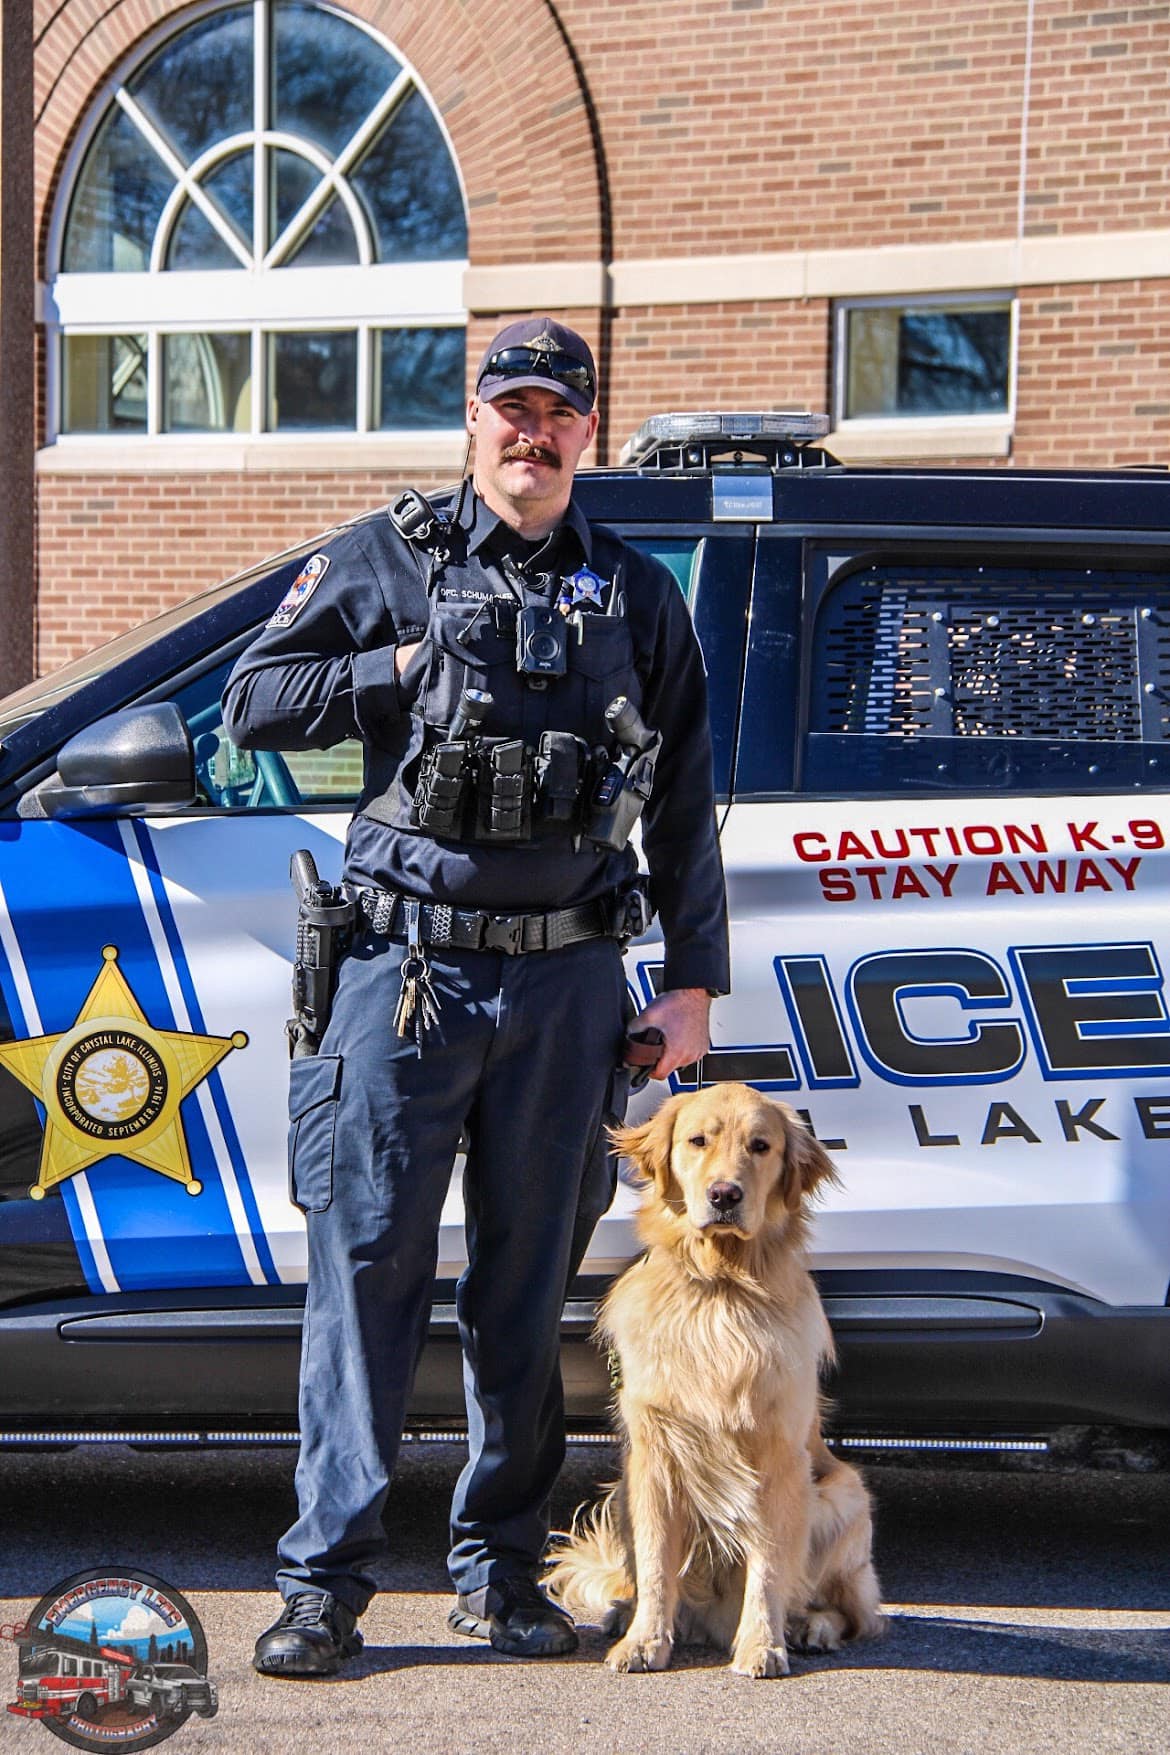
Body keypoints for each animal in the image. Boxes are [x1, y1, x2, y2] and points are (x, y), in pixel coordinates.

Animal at [550, 1081, 887, 1670]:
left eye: (761, 1146)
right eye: (697, 1141)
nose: (724, 1195)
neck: (720, 1286)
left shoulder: (777, 1457)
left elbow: (770, 1567)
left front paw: (762, 1645)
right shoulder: (653, 1455)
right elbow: (656, 1564)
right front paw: (644, 1640)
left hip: (843, 1496)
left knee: (854, 1613)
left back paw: (809, 1627)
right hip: (624, 1492)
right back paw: (627, 1613)